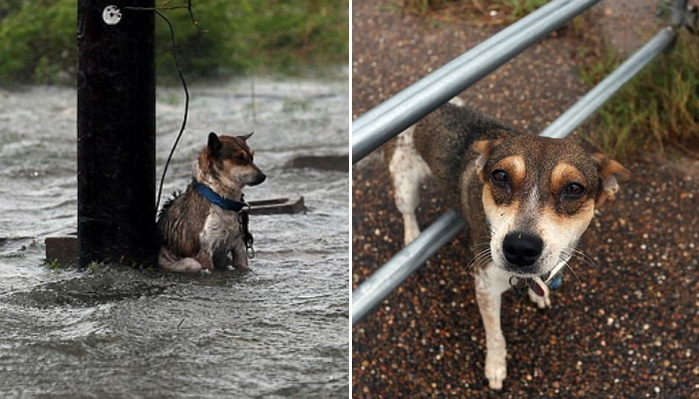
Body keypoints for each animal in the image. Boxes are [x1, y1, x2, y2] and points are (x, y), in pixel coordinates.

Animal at [157, 133, 266, 274]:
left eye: (252, 157)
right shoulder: (204, 253)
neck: (221, 200)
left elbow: (243, 266)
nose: (263, 176)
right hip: (189, 263)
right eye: (239, 158)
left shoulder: (239, 247)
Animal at [386, 99, 632, 390]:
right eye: (500, 176)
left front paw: (540, 294)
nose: (520, 248)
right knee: (407, 211)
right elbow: (495, 334)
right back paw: (412, 235)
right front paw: (495, 366)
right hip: (404, 185)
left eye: (574, 188)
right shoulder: (485, 286)